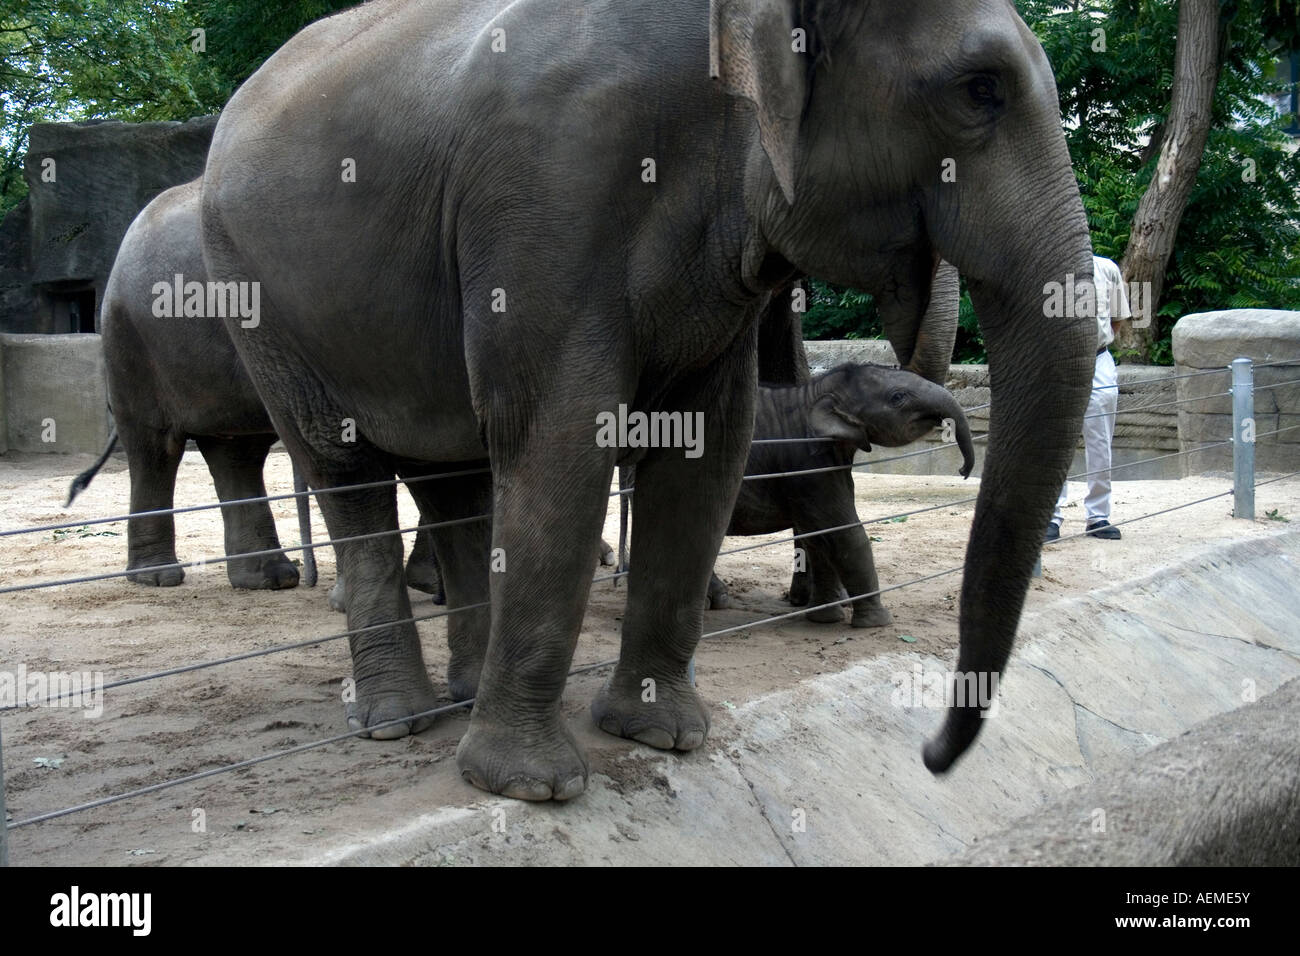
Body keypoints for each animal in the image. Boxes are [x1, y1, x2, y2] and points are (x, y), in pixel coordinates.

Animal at [202, 0, 1097, 801]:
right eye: (979, 90)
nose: (932, 756)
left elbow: (707, 448)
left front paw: (663, 737)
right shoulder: (552, 193)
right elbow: (563, 436)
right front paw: (531, 787)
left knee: (452, 480)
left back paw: (464, 695)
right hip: (263, 310)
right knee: (346, 469)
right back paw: (400, 722)